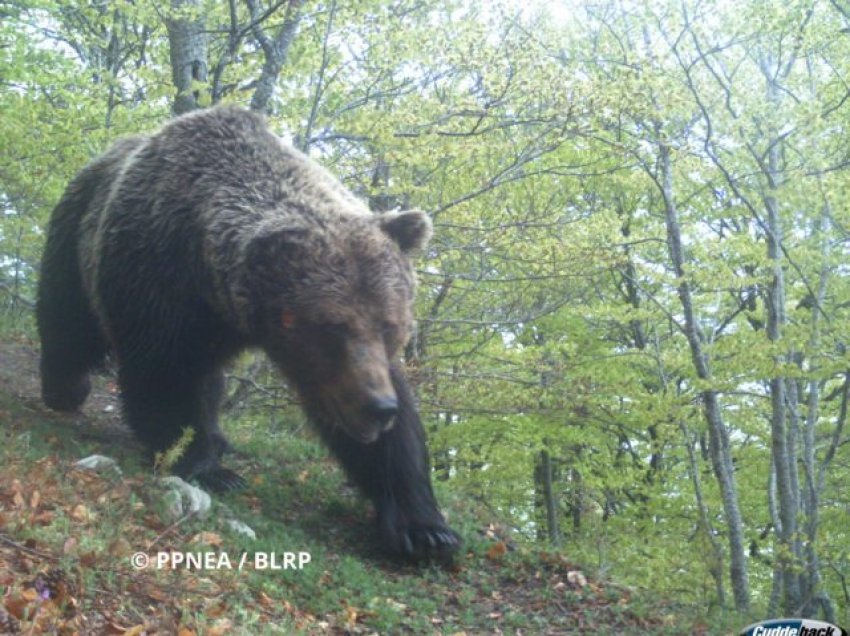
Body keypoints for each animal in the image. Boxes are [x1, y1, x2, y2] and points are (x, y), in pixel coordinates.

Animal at [34, 105, 458, 560]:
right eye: (333, 327)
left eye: (390, 325)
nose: (378, 408)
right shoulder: (160, 281)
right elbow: (166, 373)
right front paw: (206, 466)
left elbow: (394, 432)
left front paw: (425, 528)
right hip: (76, 237)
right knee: (69, 322)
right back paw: (65, 389)